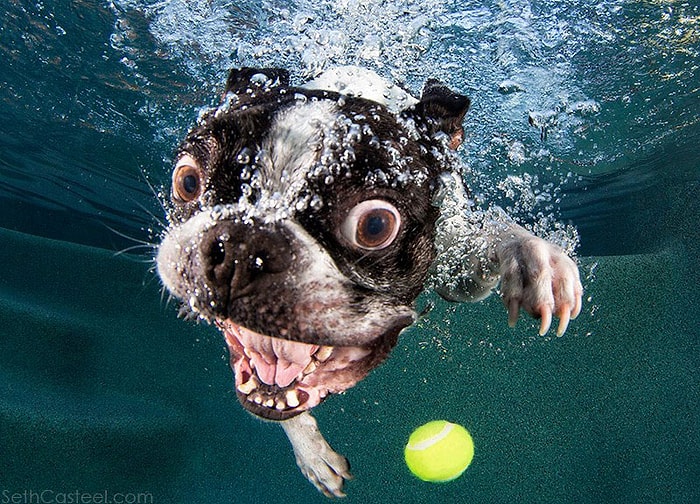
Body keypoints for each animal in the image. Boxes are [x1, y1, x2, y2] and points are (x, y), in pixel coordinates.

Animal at [156, 66, 584, 496]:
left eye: (375, 225)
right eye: (187, 181)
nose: (243, 245)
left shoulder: (458, 271)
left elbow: (495, 234)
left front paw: (538, 261)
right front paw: (312, 452)